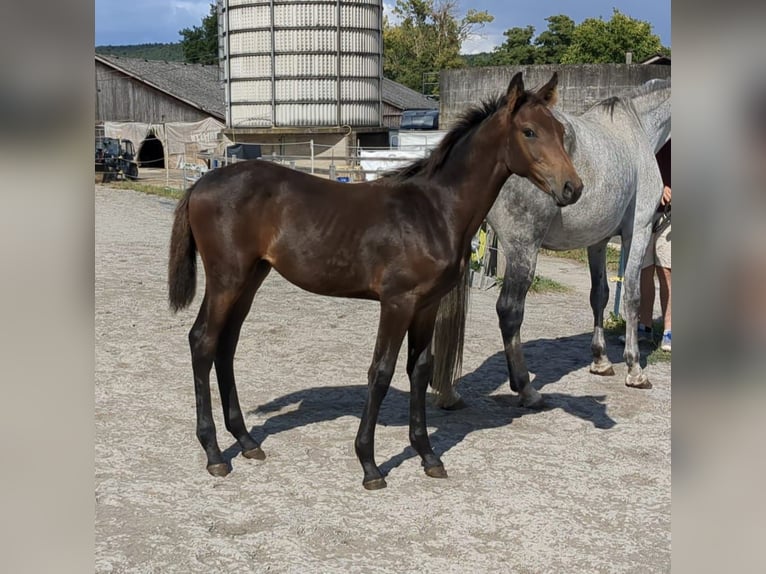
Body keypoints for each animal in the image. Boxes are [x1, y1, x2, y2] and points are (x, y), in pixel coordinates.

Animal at [167, 72, 582, 490]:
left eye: (560, 131)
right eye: (529, 131)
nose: (572, 187)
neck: (435, 211)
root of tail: (200, 184)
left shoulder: (427, 304)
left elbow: (420, 369)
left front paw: (428, 456)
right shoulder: (397, 302)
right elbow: (380, 371)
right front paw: (369, 464)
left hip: (251, 278)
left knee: (226, 345)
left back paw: (247, 441)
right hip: (227, 279)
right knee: (202, 341)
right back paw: (214, 453)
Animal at [431, 78, 671, 409]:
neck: (636, 127)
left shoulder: (597, 240)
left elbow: (600, 295)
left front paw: (600, 361)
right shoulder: (639, 231)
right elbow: (633, 298)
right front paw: (635, 369)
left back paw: (446, 390)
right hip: (523, 249)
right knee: (509, 311)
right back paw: (526, 389)